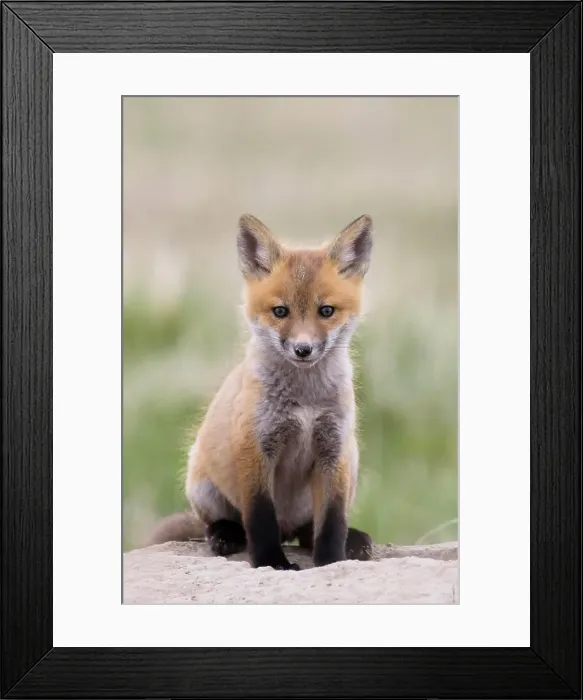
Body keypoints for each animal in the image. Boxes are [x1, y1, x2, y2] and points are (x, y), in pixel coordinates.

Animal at [147, 214, 375, 570]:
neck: (304, 402)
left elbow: (333, 522)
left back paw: (349, 539)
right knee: (221, 523)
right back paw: (225, 535)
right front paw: (272, 562)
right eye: (280, 311)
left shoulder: (334, 449)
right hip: (201, 482)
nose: (303, 350)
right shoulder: (255, 446)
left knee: (309, 532)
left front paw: (331, 561)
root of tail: (289, 529)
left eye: (326, 311)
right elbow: (260, 518)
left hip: (350, 464)